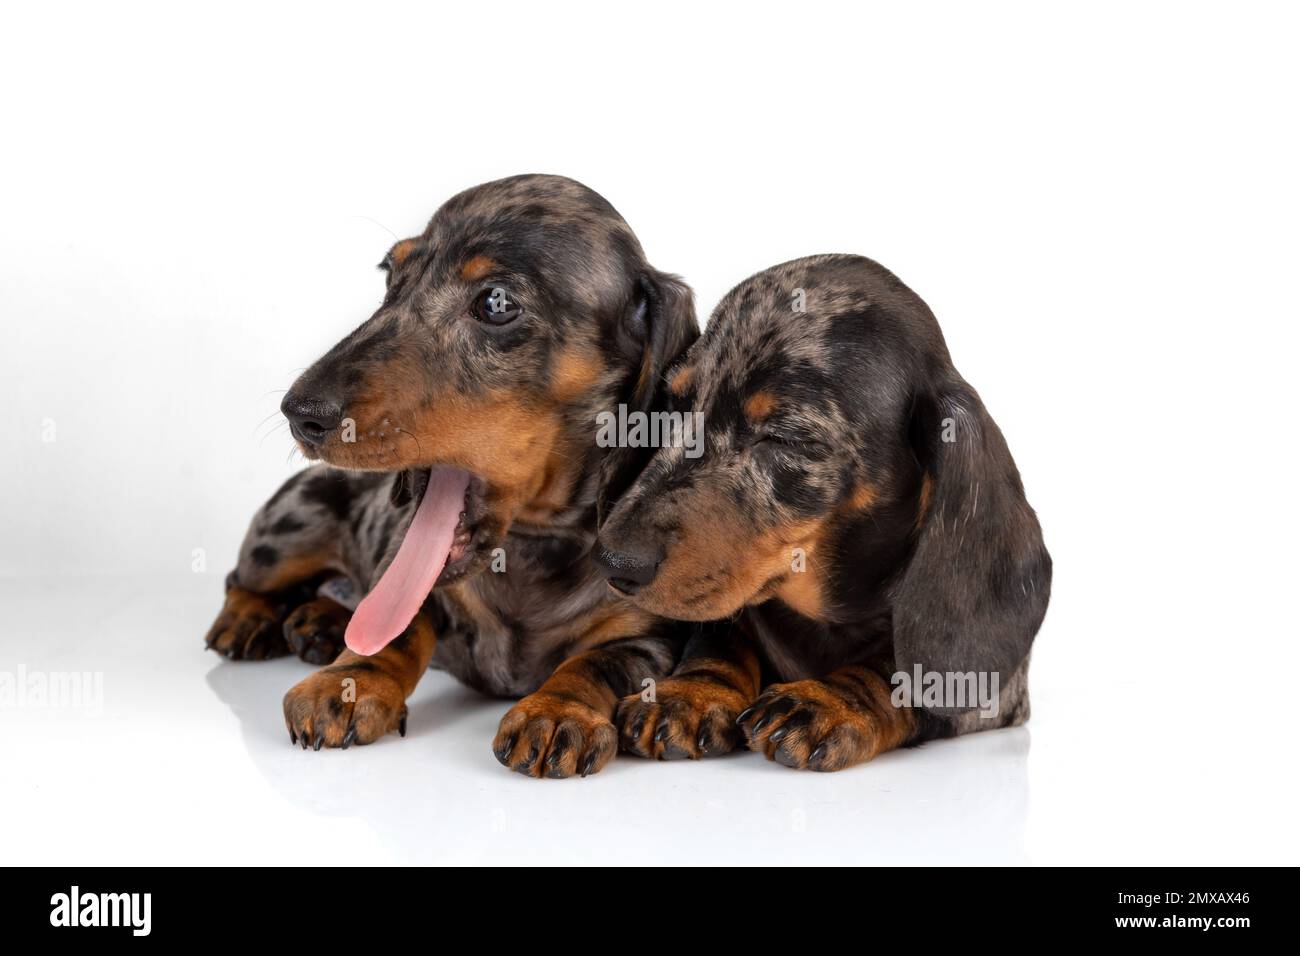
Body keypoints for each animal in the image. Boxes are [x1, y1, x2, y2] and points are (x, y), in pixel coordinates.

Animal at [200, 178, 702, 780]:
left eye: (496, 302)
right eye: (390, 276)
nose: (300, 414)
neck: (530, 548)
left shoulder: (647, 637)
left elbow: (594, 663)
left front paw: (557, 710)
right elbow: (396, 630)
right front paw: (348, 683)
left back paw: (318, 621)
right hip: (287, 530)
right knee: (242, 578)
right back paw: (248, 618)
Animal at [595, 252, 1050, 770]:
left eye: (785, 436)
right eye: (675, 404)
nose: (613, 561)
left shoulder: (997, 696)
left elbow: (900, 673)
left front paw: (828, 701)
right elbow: (723, 637)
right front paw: (690, 691)